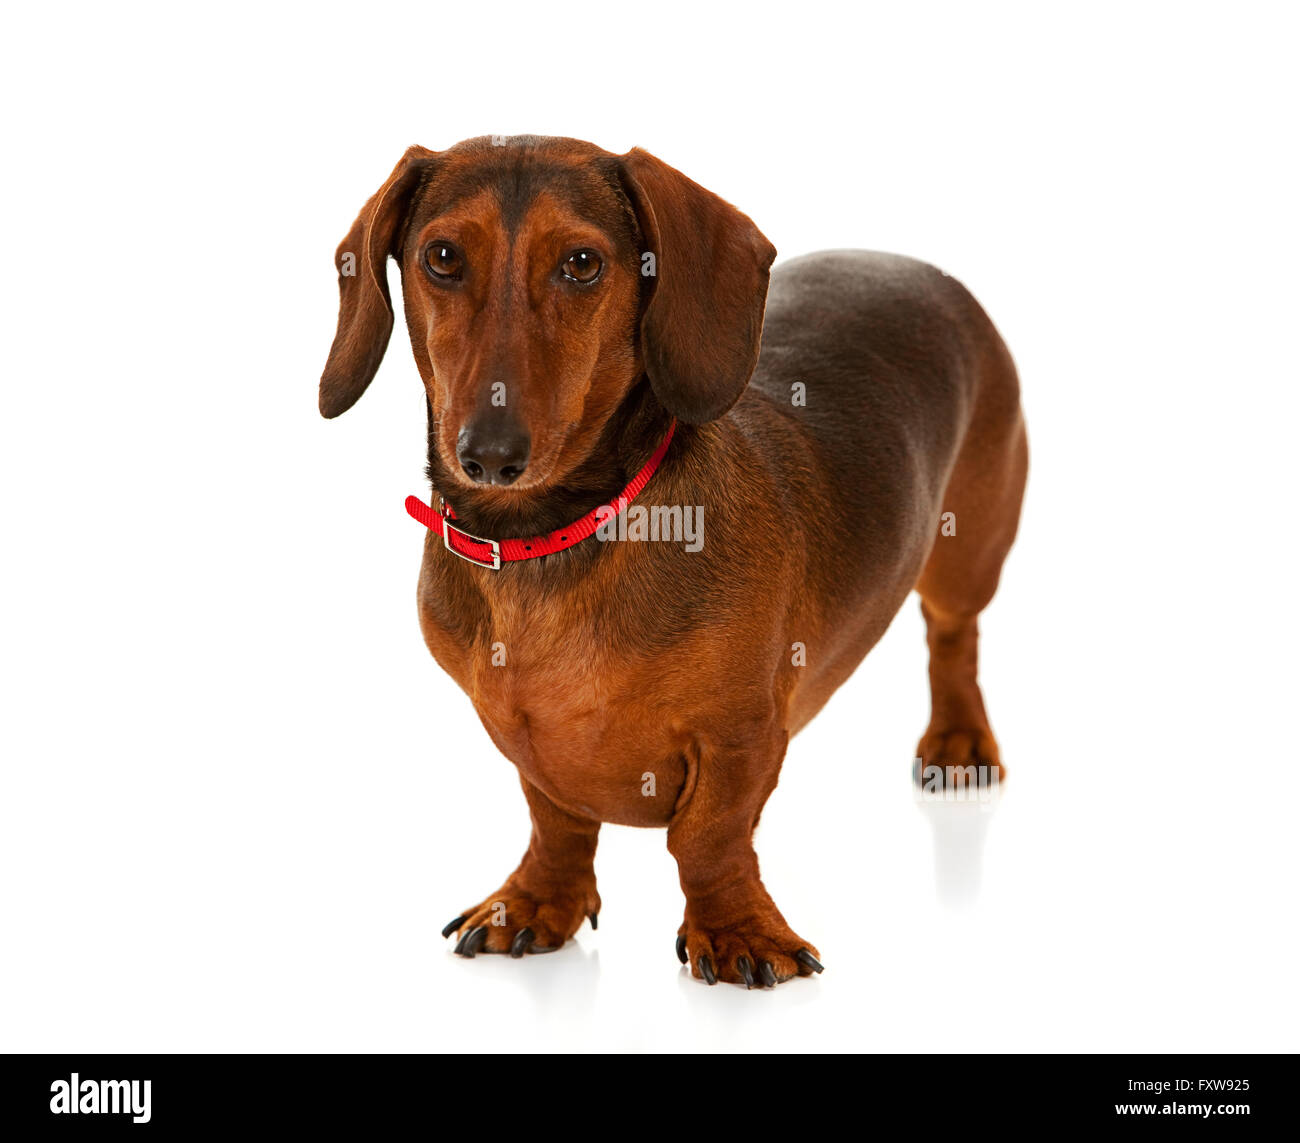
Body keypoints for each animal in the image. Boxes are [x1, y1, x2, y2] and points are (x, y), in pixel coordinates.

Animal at [317, 133, 1024, 988]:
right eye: (443, 256)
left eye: (583, 263)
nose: (488, 456)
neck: (552, 541)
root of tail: (917, 265)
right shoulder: (519, 734)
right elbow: (554, 816)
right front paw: (535, 900)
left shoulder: (742, 733)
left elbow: (707, 834)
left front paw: (738, 929)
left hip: (969, 547)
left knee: (954, 636)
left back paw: (958, 741)